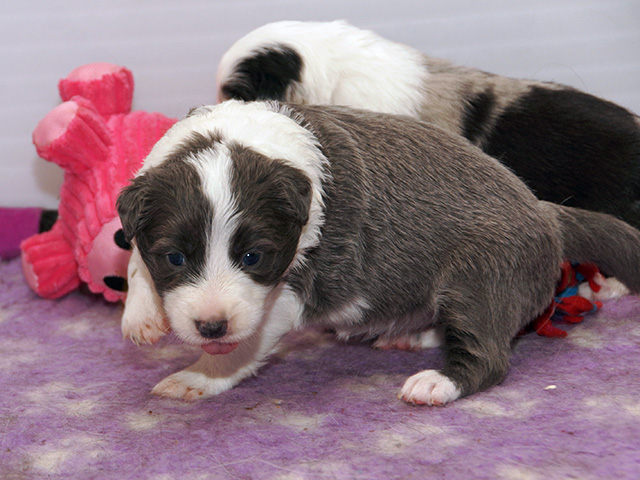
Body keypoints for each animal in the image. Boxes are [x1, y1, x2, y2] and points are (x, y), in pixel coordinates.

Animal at [117, 100, 640, 405]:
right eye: (174, 258)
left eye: (254, 258)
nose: (211, 326)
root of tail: (546, 213)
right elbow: (134, 253)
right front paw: (141, 313)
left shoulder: (294, 289)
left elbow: (246, 343)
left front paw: (202, 376)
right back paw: (413, 336)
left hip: (479, 275)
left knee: (489, 352)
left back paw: (437, 382)